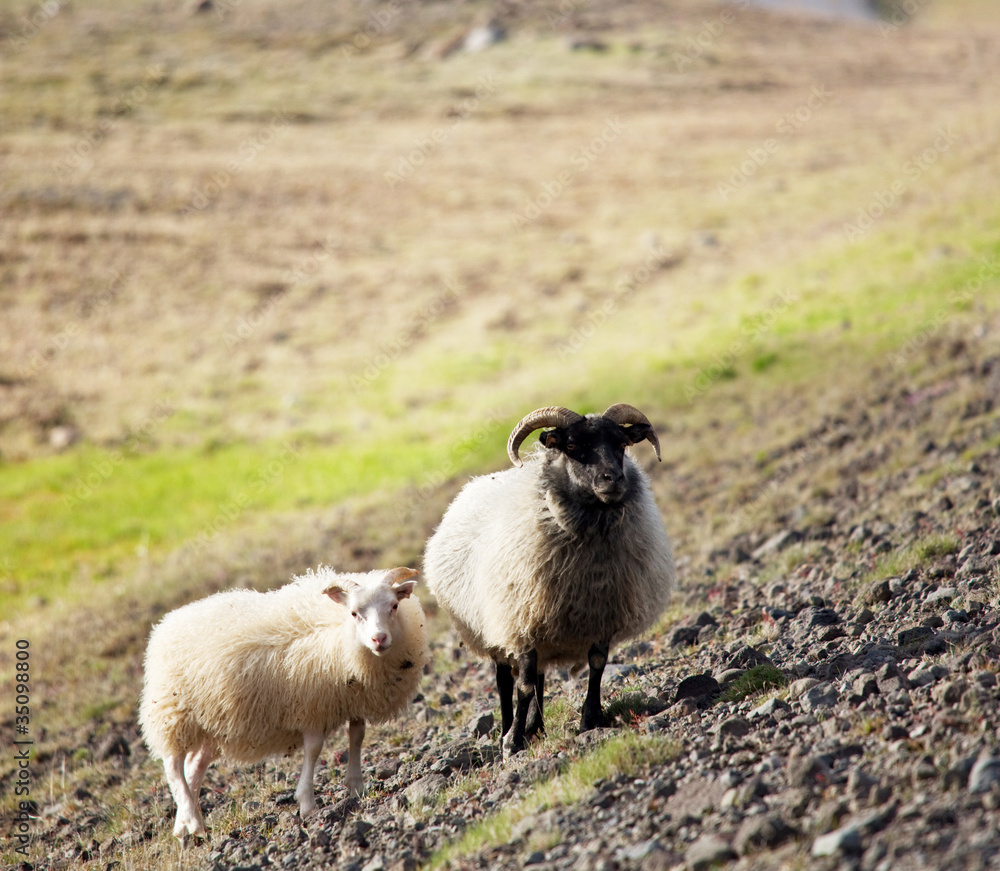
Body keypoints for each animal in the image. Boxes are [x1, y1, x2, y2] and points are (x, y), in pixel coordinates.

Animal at [138, 565, 429, 839]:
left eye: (394, 606)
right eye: (355, 613)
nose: (379, 639)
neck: (338, 633)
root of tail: (164, 625)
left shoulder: (352, 699)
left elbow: (357, 736)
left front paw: (355, 786)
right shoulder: (311, 707)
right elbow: (314, 749)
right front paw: (307, 803)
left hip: (212, 721)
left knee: (193, 768)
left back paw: (183, 827)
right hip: (172, 712)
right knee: (173, 765)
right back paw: (193, 821)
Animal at [423, 404, 674, 756]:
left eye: (622, 444)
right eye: (571, 446)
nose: (613, 479)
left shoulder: (601, 613)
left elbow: (596, 665)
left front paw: (591, 719)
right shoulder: (522, 618)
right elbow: (524, 685)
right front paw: (512, 741)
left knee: (540, 676)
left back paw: (537, 728)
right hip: (494, 625)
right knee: (506, 680)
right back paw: (508, 727)